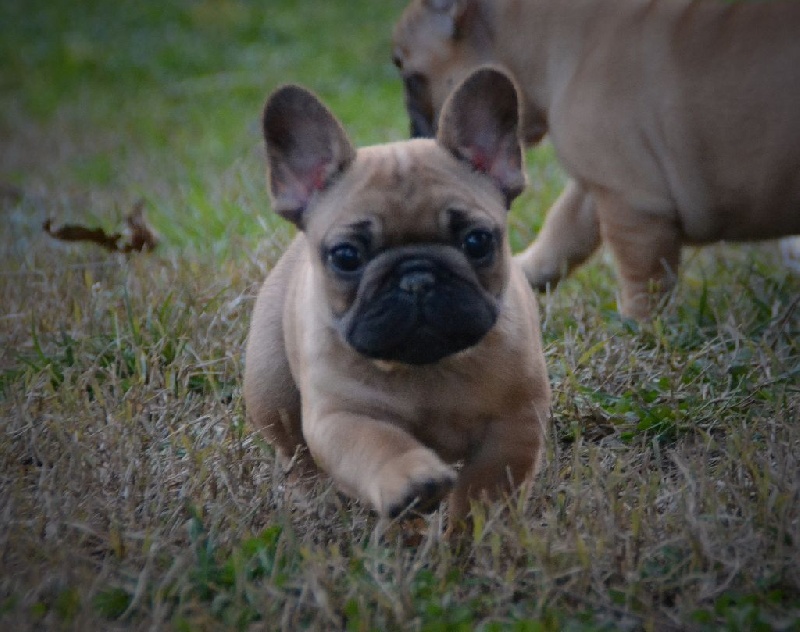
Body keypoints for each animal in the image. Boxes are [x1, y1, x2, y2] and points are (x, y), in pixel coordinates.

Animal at [243, 67, 551, 524]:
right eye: (346, 256)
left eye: (477, 241)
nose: (417, 278)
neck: (427, 367)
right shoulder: (342, 417)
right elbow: (379, 445)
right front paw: (412, 481)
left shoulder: (516, 421)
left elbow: (490, 480)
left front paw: (476, 527)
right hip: (270, 388)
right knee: (293, 452)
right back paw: (316, 500)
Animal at [393, 0, 800, 318]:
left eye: (408, 75)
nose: (412, 132)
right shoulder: (595, 186)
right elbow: (562, 231)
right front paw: (525, 272)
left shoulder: (631, 202)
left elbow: (641, 278)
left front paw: (638, 328)